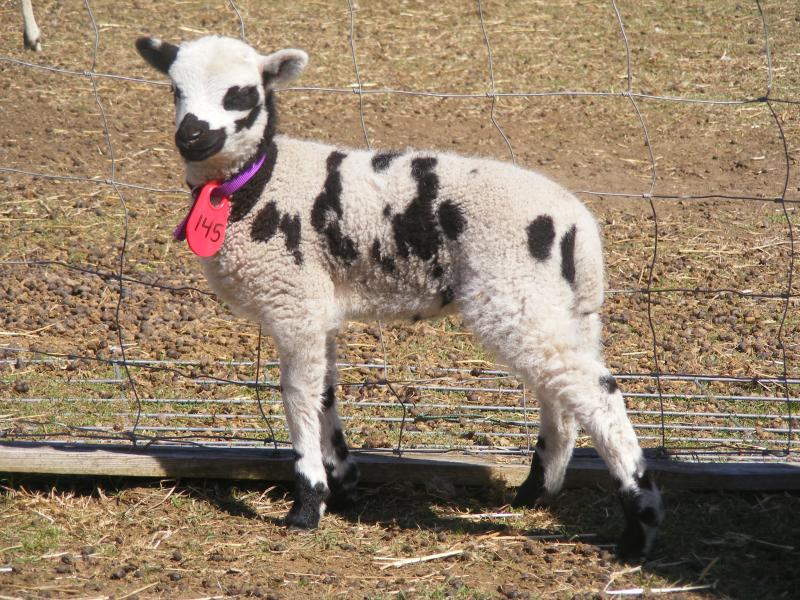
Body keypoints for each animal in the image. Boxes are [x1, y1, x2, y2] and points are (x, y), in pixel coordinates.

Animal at [136, 34, 664, 561]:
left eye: (242, 94)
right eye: (174, 89)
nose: (192, 136)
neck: (258, 186)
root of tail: (577, 225)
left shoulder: (295, 304)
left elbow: (298, 395)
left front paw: (307, 504)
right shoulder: (319, 309)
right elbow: (325, 392)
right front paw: (342, 482)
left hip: (514, 292)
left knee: (596, 393)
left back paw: (639, 526)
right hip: (561, 305)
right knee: (562, 389)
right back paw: (536, 492)